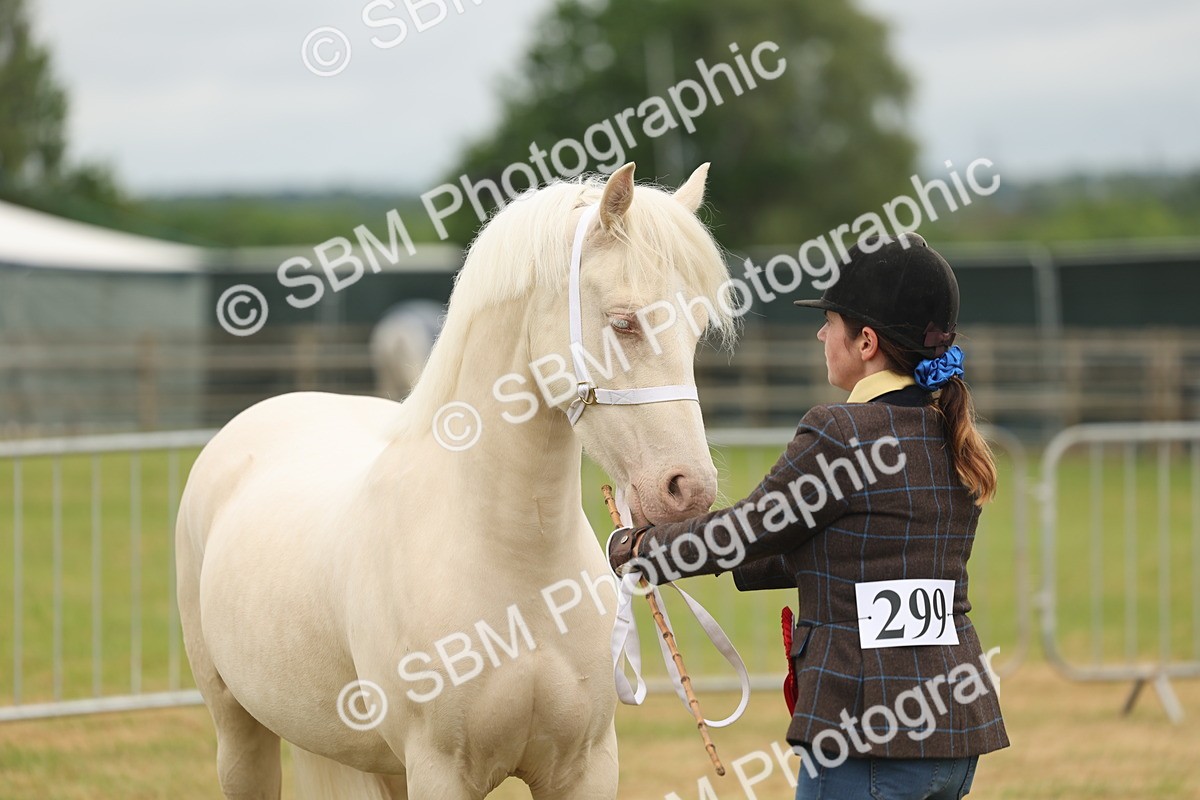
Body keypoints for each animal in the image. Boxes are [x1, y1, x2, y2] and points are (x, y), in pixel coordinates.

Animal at [175, 162, 735, 799]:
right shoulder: (440, 769)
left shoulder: (586, 766)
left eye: (697, 329)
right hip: (239, 730)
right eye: (624, 322)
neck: (514, 560)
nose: (688, 490)